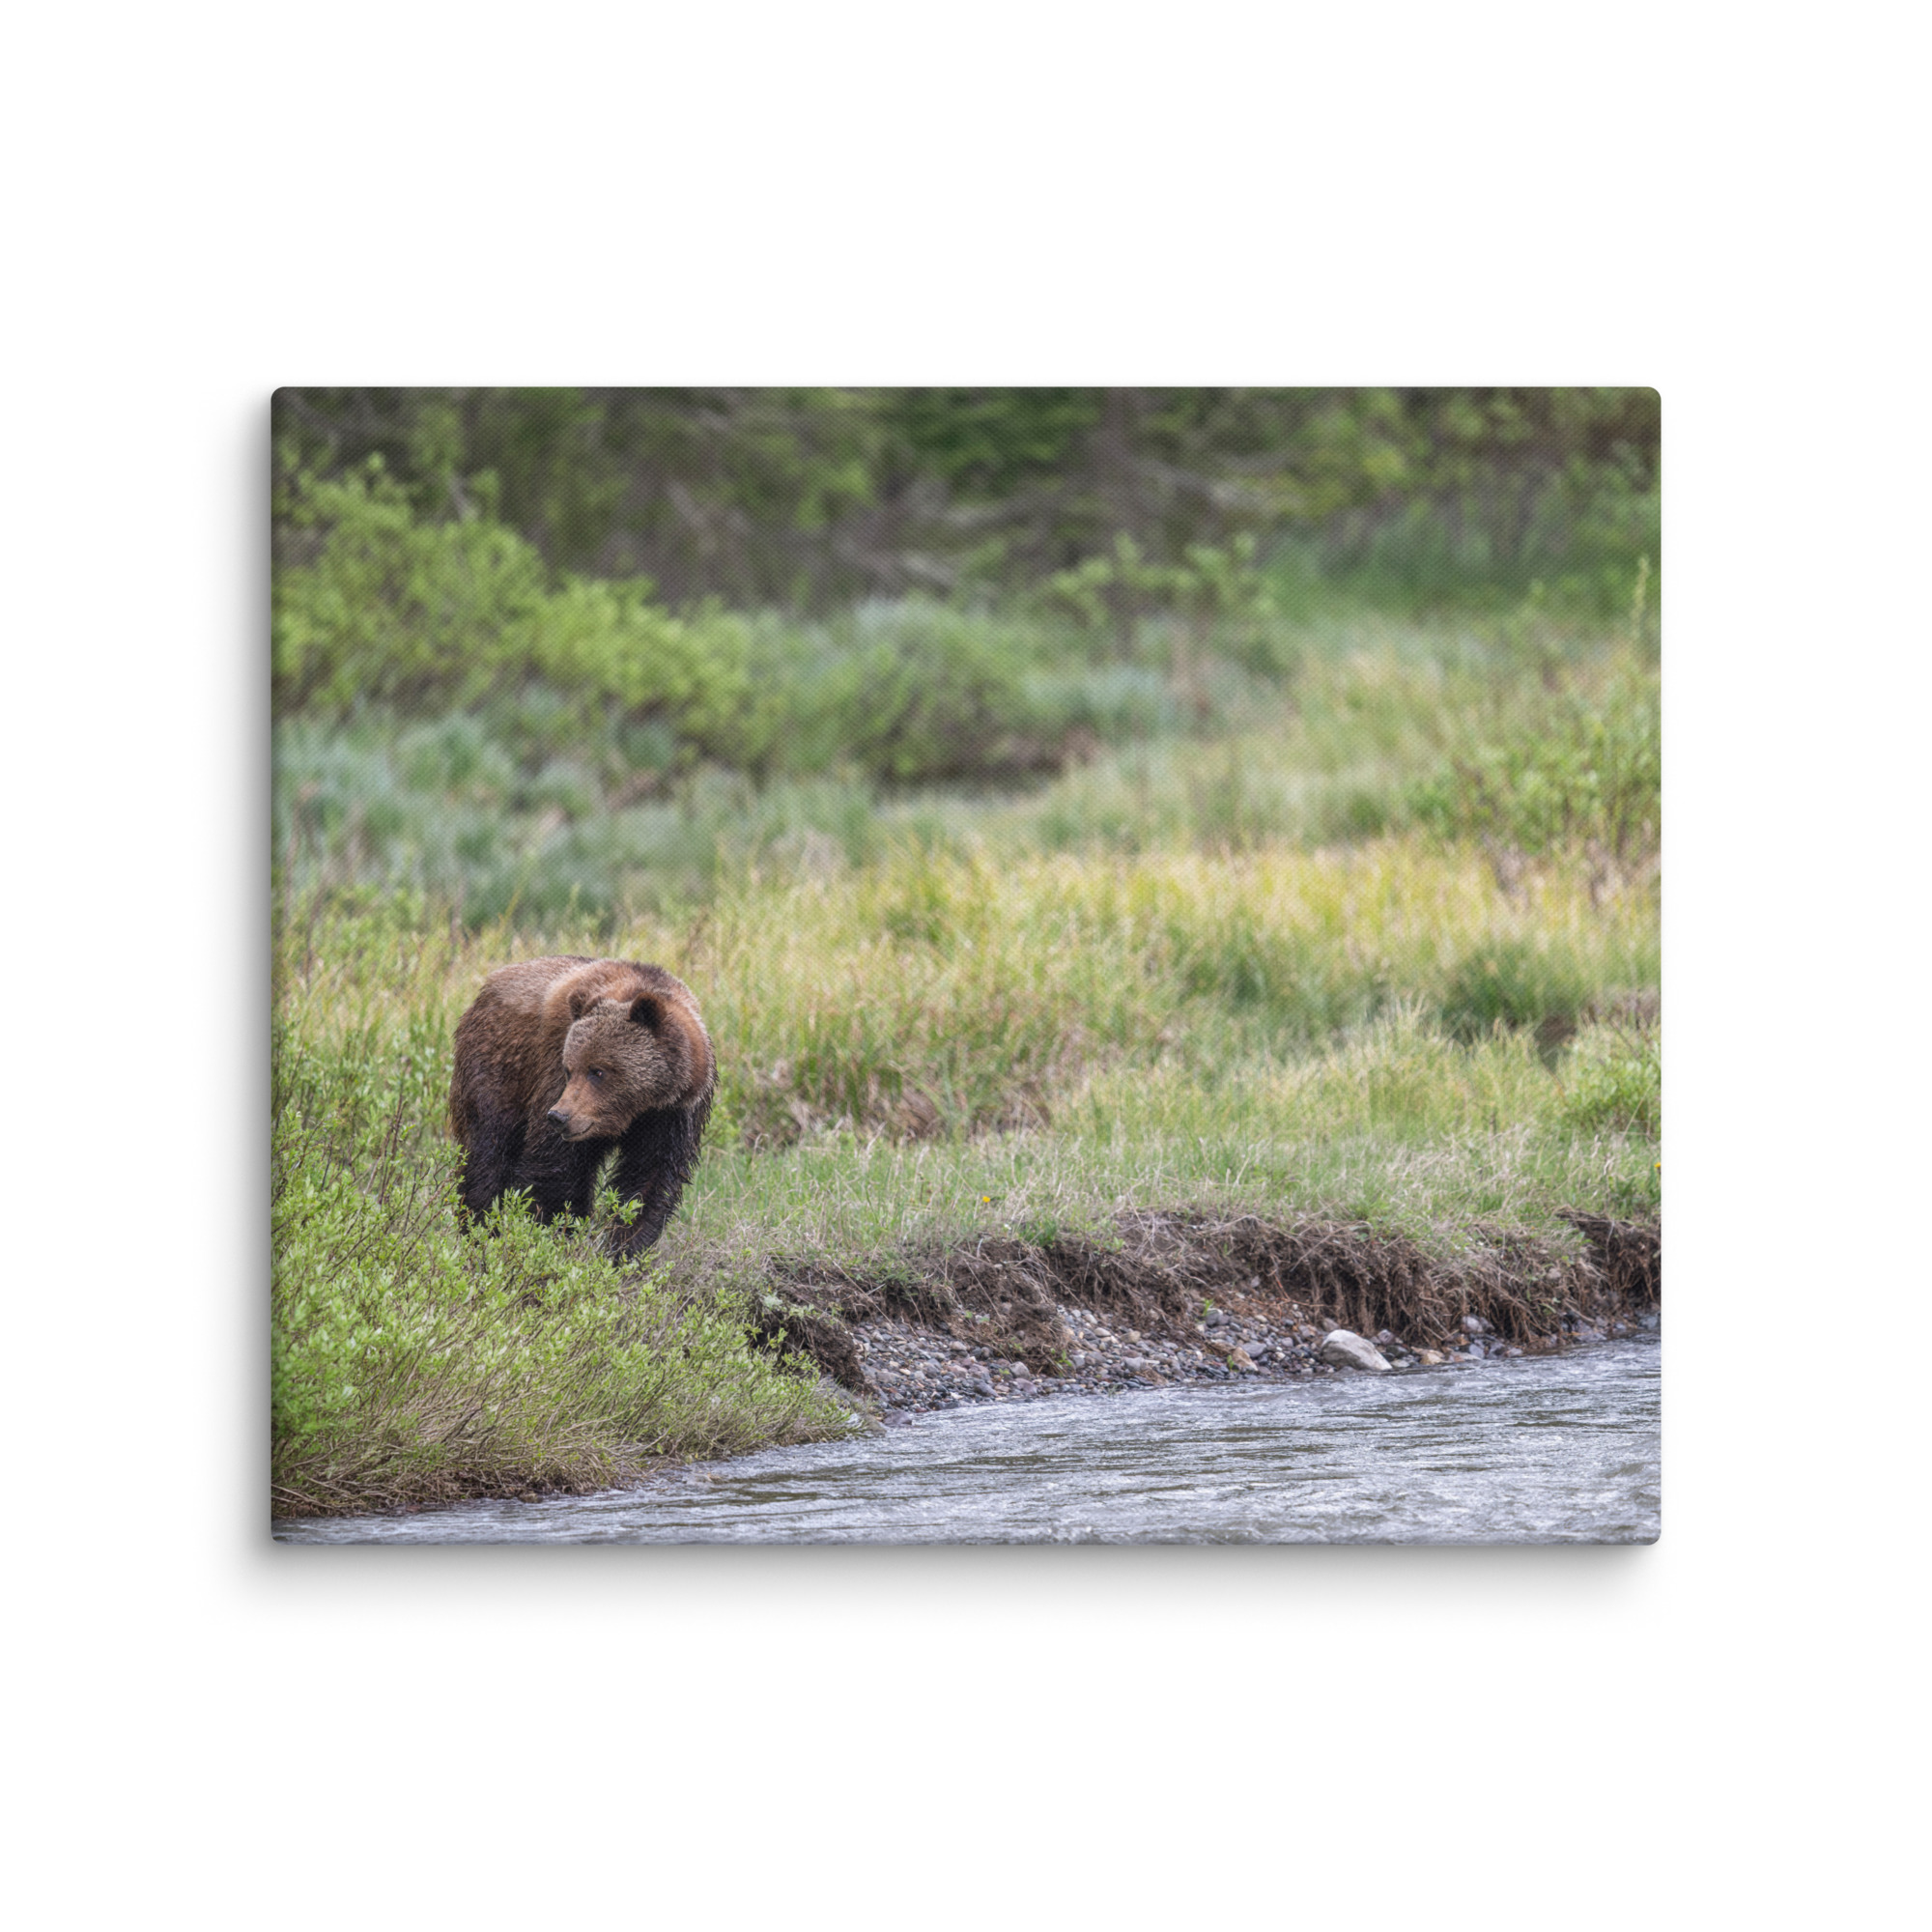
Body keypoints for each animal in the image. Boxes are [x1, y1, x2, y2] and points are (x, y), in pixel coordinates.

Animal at [449, 955, 715, 1256]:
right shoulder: (553, 1074)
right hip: (499, 1068)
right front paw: (553, 1235)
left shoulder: (673, 1115)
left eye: (598, 1071)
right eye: (569, 1069)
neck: (637, 1109)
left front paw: (623, 1248)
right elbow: (556, 1169)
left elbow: (649, 1179)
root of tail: (487, 986)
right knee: (488, 1152)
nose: (559, 1117)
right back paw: (480, 1230)